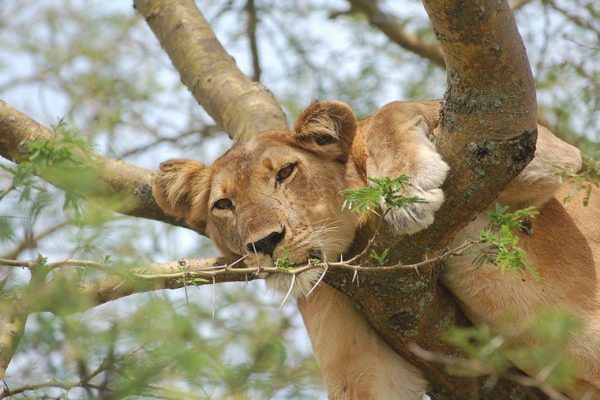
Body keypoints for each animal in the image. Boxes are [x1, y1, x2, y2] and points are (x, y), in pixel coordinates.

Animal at [152, 100, 596, 400]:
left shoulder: (543, 160)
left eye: (286, 172)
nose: (264, 242)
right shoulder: (361, 362)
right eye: (223, 205)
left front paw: (409, 185)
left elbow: (392, 111)